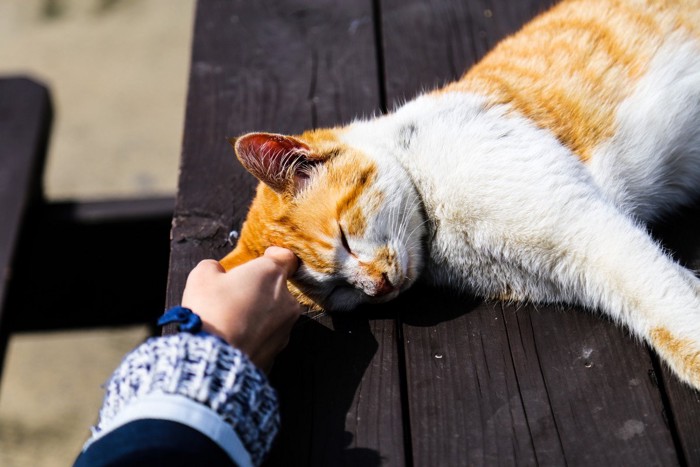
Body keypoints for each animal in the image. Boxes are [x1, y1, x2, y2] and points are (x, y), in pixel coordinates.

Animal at [221, 0, 700, 388]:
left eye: (344, 236)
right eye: (339, 293)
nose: (377, 286)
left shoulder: (585, 227)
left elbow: (668, 310)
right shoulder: (572, 267)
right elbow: (666, 304)